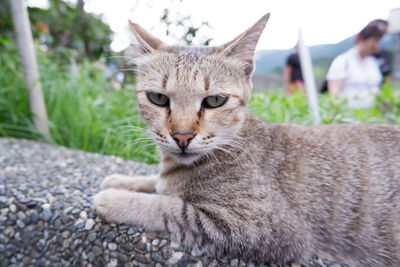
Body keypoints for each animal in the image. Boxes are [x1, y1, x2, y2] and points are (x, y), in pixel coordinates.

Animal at [92, 13, 400, 266]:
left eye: (215, 101)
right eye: (157, 98)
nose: (182, 137)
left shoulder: (266, 228)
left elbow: (171, 207)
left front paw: (116, 198)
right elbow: (157, 182)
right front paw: (125, 180)